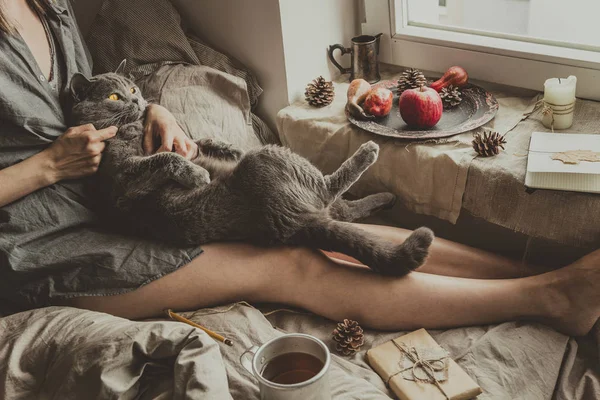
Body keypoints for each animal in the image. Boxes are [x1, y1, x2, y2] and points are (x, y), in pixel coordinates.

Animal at [69, 63, 432, 276]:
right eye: (114, 96)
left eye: (132, 89)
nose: (137, 101)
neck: (132, 126)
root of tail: (296, 224)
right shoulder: (122, 178)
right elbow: (165, 159)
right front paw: (197, 173)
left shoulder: (180, 141)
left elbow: (197, 141)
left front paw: (226, 148)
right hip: (271, 159)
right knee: (329, 189)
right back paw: (368, 152)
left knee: (342, 209)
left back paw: (386, 197)